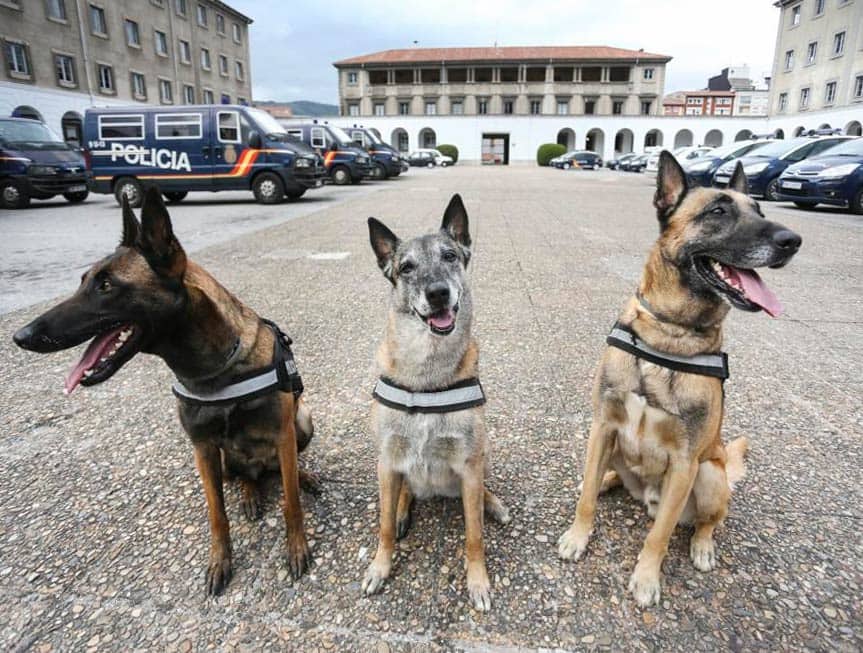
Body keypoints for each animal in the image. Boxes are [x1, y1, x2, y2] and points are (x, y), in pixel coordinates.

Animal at [13, 186, 316, 592]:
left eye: (106, 286)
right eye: (81, 281)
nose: (21, 335)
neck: (216, 371)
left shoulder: (283, 434)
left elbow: (291, 501)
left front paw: (296, 547)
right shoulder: (203, 449)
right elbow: (217, 514)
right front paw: (219, 561)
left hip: (303, 421)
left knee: (283, 473)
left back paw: (302, 477)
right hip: (226, 461)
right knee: (246, 477)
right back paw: (251, 495)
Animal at [362, 194, 510, 612]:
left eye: (449, 256)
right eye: (407, 267)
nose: (438, 293)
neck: (427, 377)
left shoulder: (470, 466)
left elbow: (474, 535)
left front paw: (478, 582)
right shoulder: (387, 460)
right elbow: (382, 527)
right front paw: (380, 567)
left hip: (482, 458)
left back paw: (493, 504)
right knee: (404, 492)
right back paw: (402, 509)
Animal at [560, 152, 804, 608]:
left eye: (760, 211)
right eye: (718, 211)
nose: (792, 240)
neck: (667, 334)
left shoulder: (686, 462)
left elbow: (658, 536)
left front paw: (646, 578)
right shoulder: (603, 427)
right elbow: (584, 503)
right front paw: (578, 536)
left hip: (708, 475)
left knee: (706, 521)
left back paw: (703, 546)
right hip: (617, 449)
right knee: (604, 478)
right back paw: (602, 481)